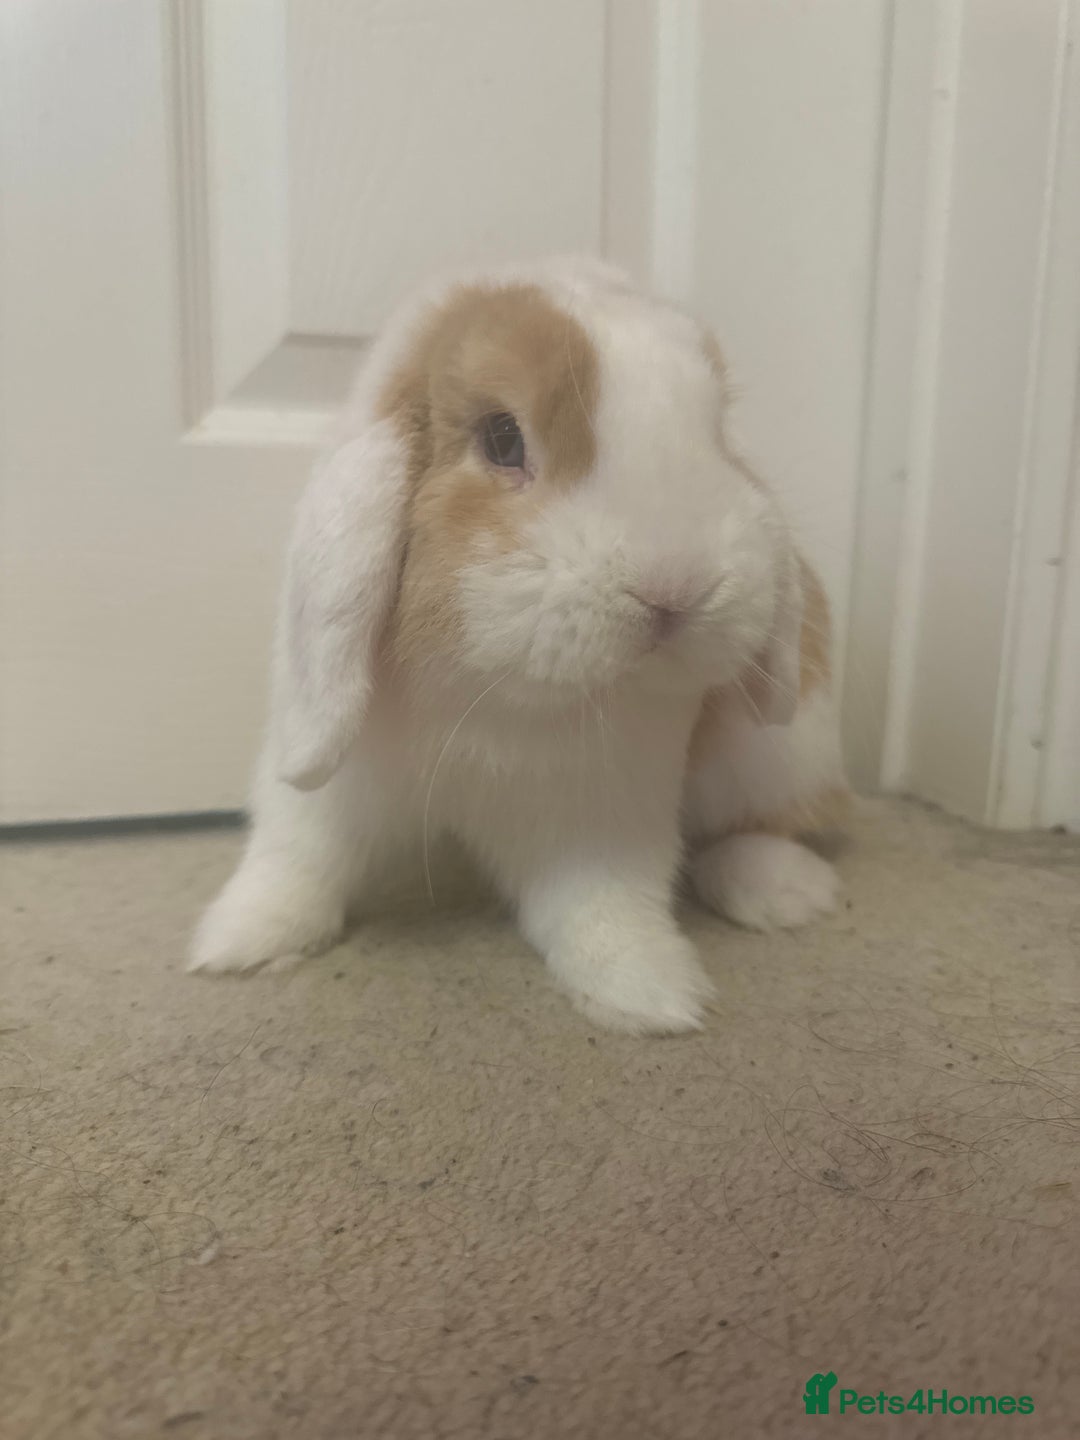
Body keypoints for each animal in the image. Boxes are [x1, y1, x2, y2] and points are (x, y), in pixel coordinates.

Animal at [190, 256, 847, 1033]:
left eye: (716, 433)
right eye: (502, 438)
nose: (677, 588)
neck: (493, 693)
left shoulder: (609, 813)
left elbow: (607, 906)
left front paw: (647, 994)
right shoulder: (334, 784)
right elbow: (295, 860)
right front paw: (239, 944)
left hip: (786, 753)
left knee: (768, 822)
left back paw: (783, 891)